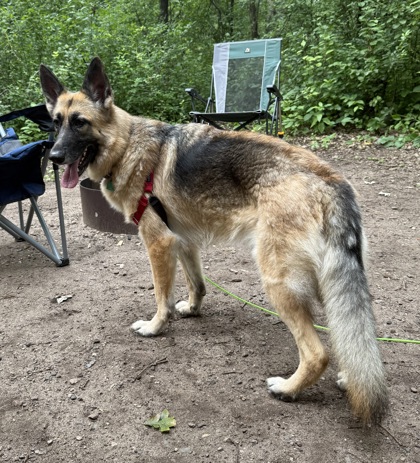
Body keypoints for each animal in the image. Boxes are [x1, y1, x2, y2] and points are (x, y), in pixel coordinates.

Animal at [39, 57, 388, 425]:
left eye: (80, 123)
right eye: (56, 123)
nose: (55, 157)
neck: (127, 145)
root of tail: (331, 182)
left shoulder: (158, 243)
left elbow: (161, 296)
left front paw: (155, 327)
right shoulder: (183, 242)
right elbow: (197, 285)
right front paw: (192, 310)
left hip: (279, 284)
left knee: (318, 352)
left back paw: (288, 388)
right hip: (326, 283)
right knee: (347, 333)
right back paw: (350, 377)